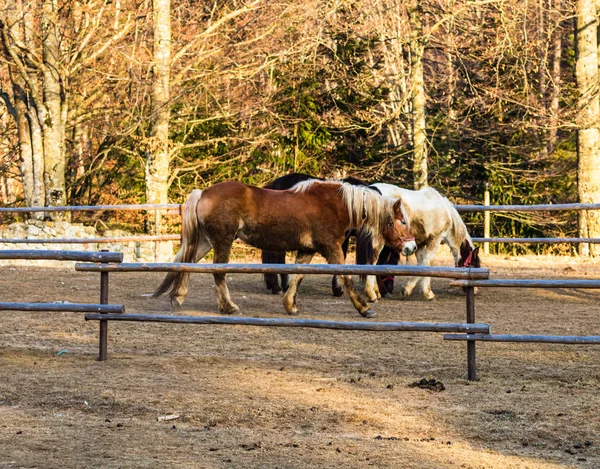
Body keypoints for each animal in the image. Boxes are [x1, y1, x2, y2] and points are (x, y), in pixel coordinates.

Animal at [154, 179, 418, 318]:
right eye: (402, 221)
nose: (412, 246)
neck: (335, 204)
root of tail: (203, 193)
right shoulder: (332, 248)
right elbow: (346, 278)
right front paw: (364, 308)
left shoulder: (308, 250)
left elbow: (297, 276)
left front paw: (290, 305)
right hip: (222, 242)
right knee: (218, 272)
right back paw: (228, 306)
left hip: (206, 242)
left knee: (187, 264)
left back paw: (177, 298)